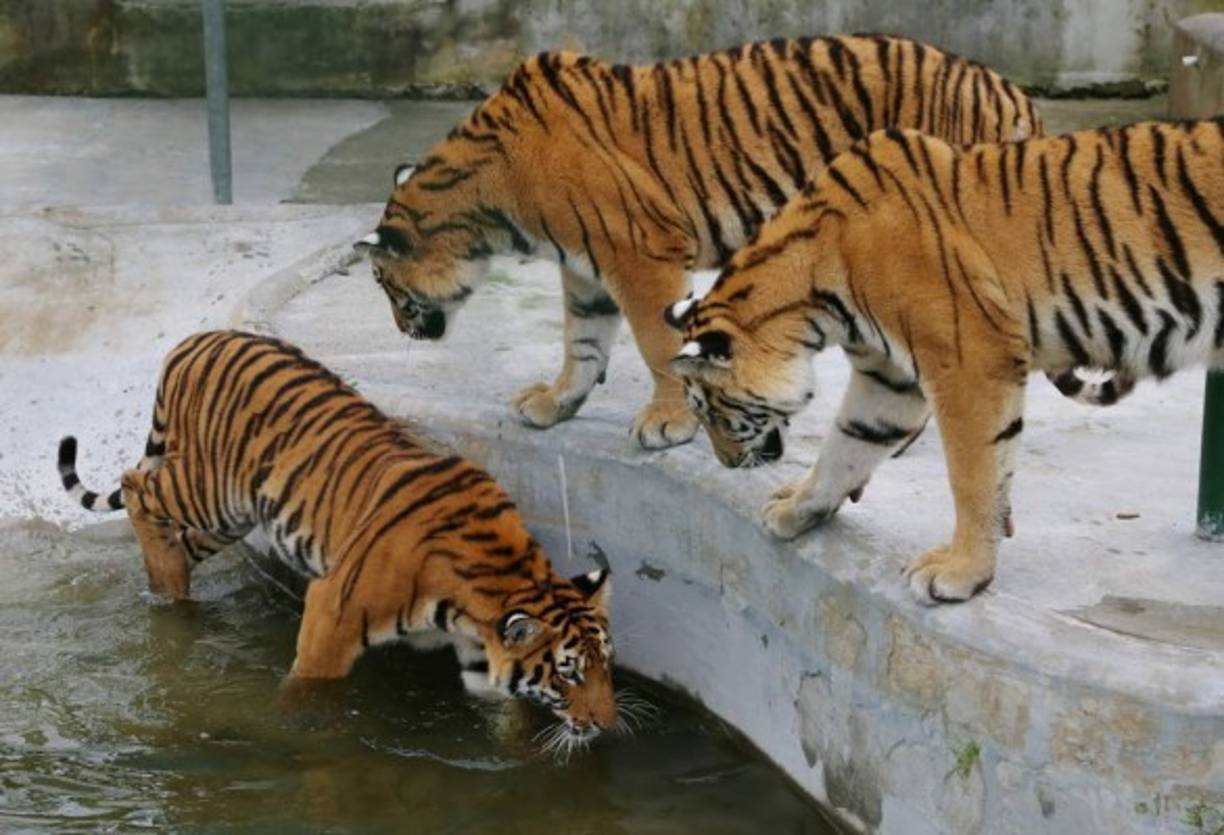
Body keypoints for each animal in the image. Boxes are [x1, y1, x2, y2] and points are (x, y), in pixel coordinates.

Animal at [57, 330, 620, 742]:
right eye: (568, 673)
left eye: (606, 666)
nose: (607, 724)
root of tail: (198, 338)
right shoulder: (333, 608)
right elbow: (309, 689)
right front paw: (286, 726)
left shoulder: (483, 658)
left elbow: (508, 711)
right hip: (209, 489)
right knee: (136, 486)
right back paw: (168, 587)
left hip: (228, 518)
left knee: (175, 535)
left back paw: (171, 591)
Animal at [353, 34, 1042, 450]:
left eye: (386, 286)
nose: (400, 329)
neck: (487, 203)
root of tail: (1010, 90)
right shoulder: (584, 270)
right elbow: (582, 342)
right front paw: (555, 403)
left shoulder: (640, 252)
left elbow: (657, 345)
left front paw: (668, 423)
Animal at [664, 119, 1224, 604]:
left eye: (714, 411)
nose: (727, 465)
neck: (812, 296)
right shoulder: (889, 378)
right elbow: (846, 444)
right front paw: (797, 507)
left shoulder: (968, 362)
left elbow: (973, 475)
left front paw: (960, 573)